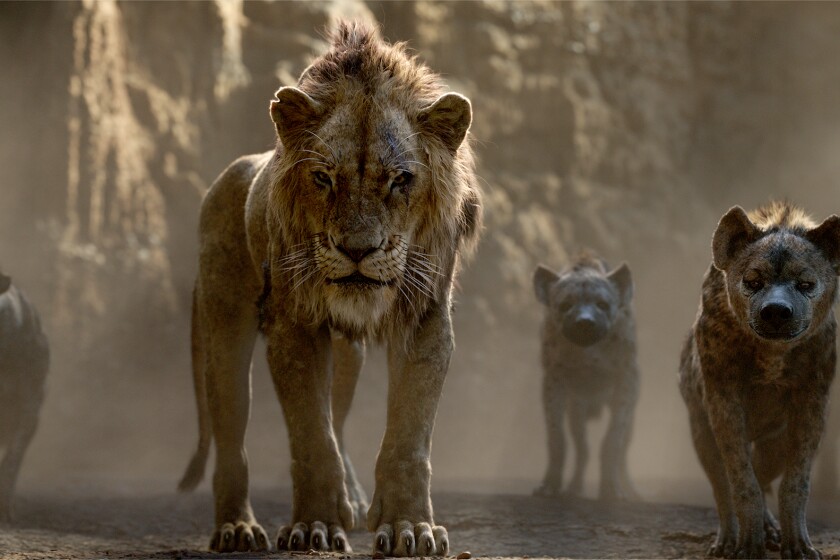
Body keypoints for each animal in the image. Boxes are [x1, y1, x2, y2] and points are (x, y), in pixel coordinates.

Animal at [178, 21, 482, 556]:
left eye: (400, 180)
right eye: (323, 178)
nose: (358, 250)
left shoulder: (425, 320)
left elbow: (407, 437)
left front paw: (408, 528)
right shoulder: (295, 327)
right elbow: (311, 437)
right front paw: (314, 527)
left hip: (347, 356)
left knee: (338, 418)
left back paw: (355, 500)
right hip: (224, 331)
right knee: (232, 436)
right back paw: (237, 528)